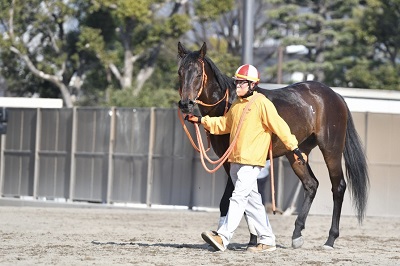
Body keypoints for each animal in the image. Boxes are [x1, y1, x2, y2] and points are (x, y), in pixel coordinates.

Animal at [177, 41, 370, 249]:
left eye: (198, 73)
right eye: (180, 72)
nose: (186, 104)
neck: (230, 104)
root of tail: (335, 95)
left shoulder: (234, 160)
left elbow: (230, 200)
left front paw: (224, 237)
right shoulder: (230, 163)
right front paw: (253, 239)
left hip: (331, 149)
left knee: (338, 186)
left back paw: (330, 239)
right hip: (297, 153)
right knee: (311, 184)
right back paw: (297, 234)